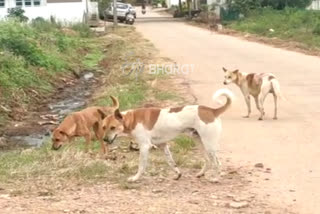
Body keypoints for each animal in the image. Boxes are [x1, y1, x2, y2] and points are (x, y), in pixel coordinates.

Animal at [100, 88, 232, 182]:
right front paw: (178, 174)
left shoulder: (144, 146)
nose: (105, 140)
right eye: (104, 127)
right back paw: (200, 174)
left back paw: (216, 178)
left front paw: (135, 178)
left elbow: (141, 166)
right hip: (199, 142)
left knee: (217, 163)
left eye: (113, 127)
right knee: (208, 160)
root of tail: (212, 110)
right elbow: (171, 162)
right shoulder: (163, 145)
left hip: (209, 144)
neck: (131, 119)